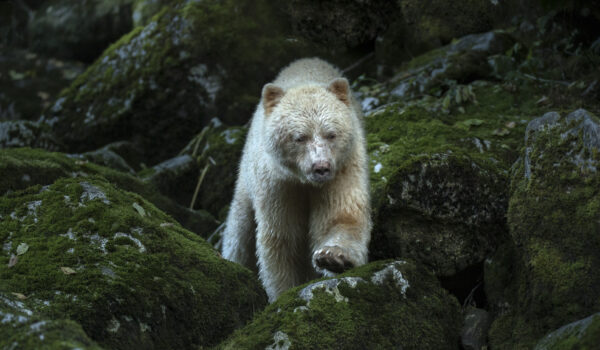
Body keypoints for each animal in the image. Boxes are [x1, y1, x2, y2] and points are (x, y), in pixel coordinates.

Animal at [220, 57, 370, 300]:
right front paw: (283, 290)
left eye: (331, 134)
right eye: (299, 137)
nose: (321, 167)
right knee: (239, 233)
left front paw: (333, 257)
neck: (304, 183)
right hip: (245, 180)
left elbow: (341, 215)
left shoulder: (344, 170)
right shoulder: (277, 185)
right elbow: (281, 238)